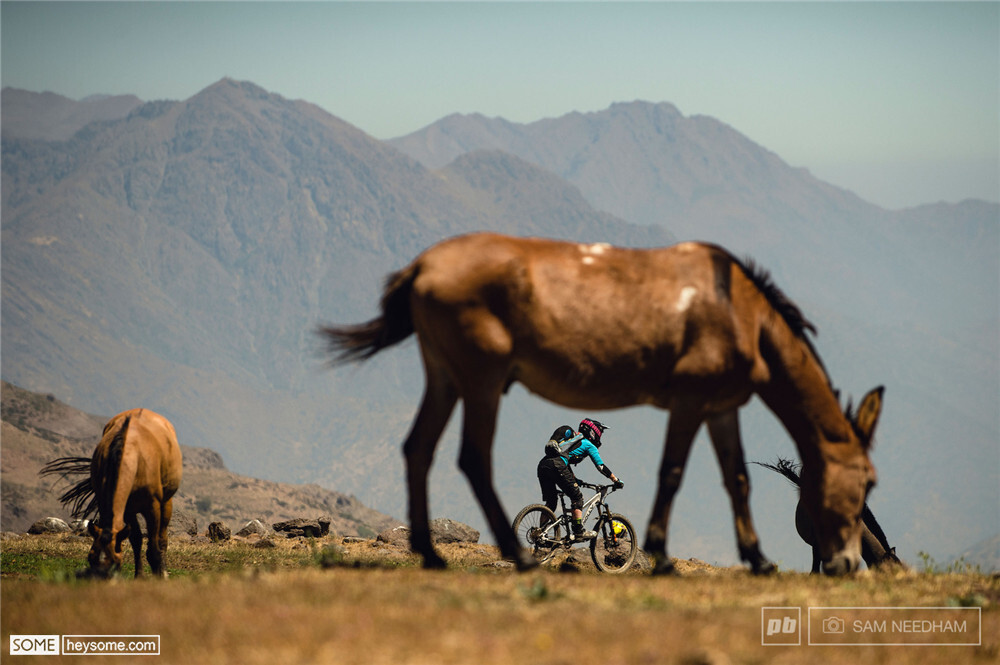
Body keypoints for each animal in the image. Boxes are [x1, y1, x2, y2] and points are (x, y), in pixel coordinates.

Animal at [40, 408, 183, 572]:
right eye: (90, 558)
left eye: (115, 561)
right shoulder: (128, 510)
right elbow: (136, 540)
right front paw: (139, 575)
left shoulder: (152, 508)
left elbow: (153, 547)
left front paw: (160, 572)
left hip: (166, 502)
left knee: (162, 538)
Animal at [320, 235, 884, 576]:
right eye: (869, 482)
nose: (847, 562)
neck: (742, 310)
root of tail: (422, 267)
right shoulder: (690, 396)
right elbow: (670, 473)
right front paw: (654, 554)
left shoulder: (723, 403)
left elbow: (737, 478)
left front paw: (759, 559)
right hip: (482, 375)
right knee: (479, 461)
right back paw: (521, 552)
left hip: (443, 373)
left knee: (419, 448)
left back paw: (433, 554)